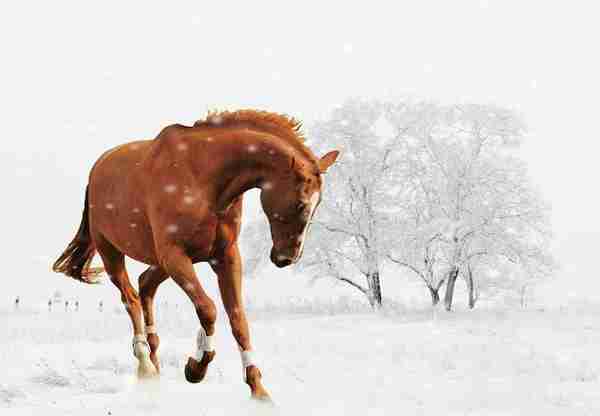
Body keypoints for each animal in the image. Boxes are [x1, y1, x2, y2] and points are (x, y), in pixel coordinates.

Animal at [52, 109, 338, 400]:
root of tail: (96, 171)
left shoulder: (225, 257)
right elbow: (208, 309)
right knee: (130, 297)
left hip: (160, 262)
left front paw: (258, 389)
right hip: (112, 252)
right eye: (301, 204)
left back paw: (154, 363)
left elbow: (238, 320)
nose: (286, 258)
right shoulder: (175, 255)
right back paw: (145, 365)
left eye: (318, 204)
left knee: (145, 284)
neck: (204, 177)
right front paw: (196, 367)